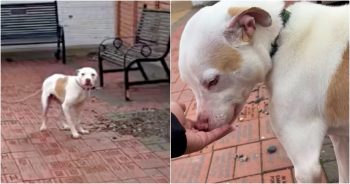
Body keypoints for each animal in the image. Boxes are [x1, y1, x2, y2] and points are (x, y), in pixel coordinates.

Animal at [179, 0, 348, 183]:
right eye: (189, 85)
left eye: (213, 81)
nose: (201, 126)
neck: (280, 38)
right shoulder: (341, 139)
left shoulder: (306, 165)